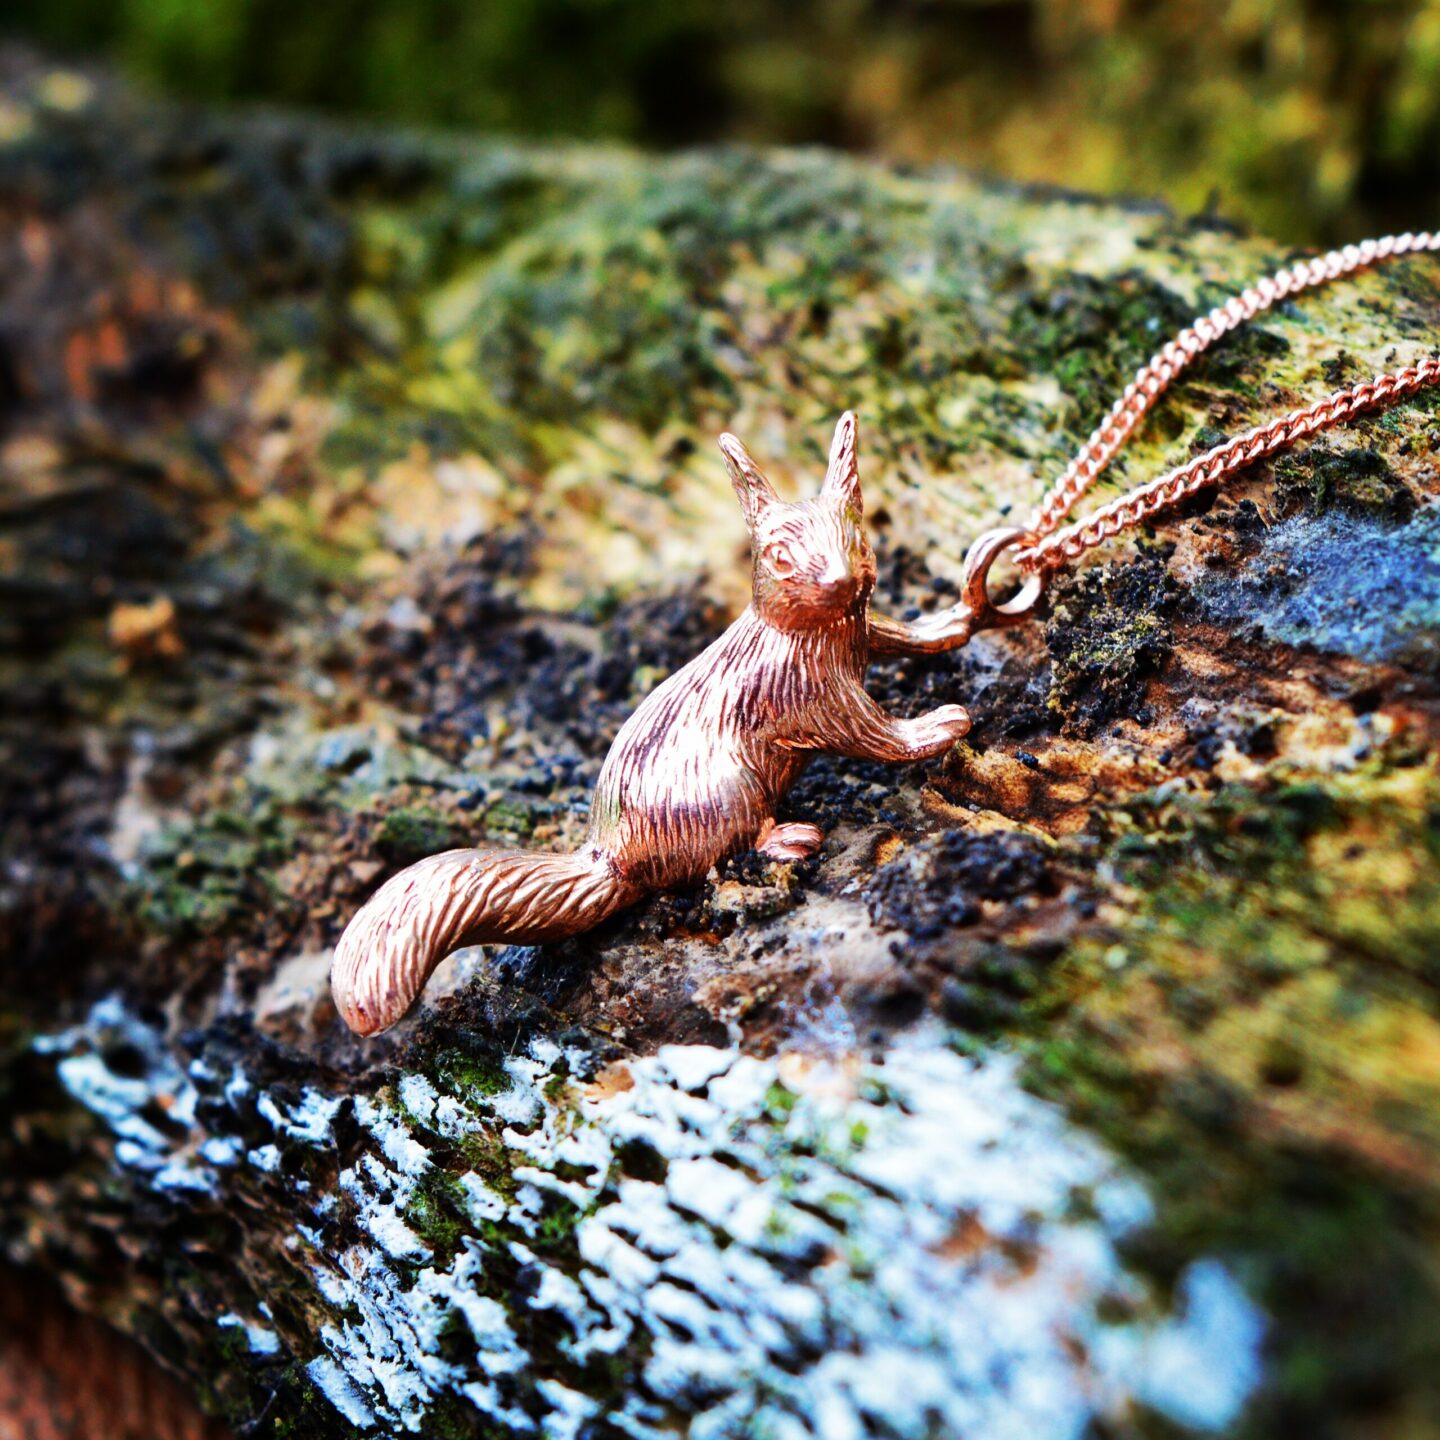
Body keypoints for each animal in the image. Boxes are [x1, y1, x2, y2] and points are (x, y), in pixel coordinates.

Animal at [332, 413, 979, 1035]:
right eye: (777, 557)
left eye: (859, 535)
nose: (843, 581)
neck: (816, 628)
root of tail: (613, 858)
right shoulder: (813, 694)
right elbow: (873, 732)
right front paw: (941, 725)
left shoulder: (865, 634)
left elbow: (902, 634)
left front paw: (955, 622)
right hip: (727, 791)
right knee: (723, 852)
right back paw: (789, 838)